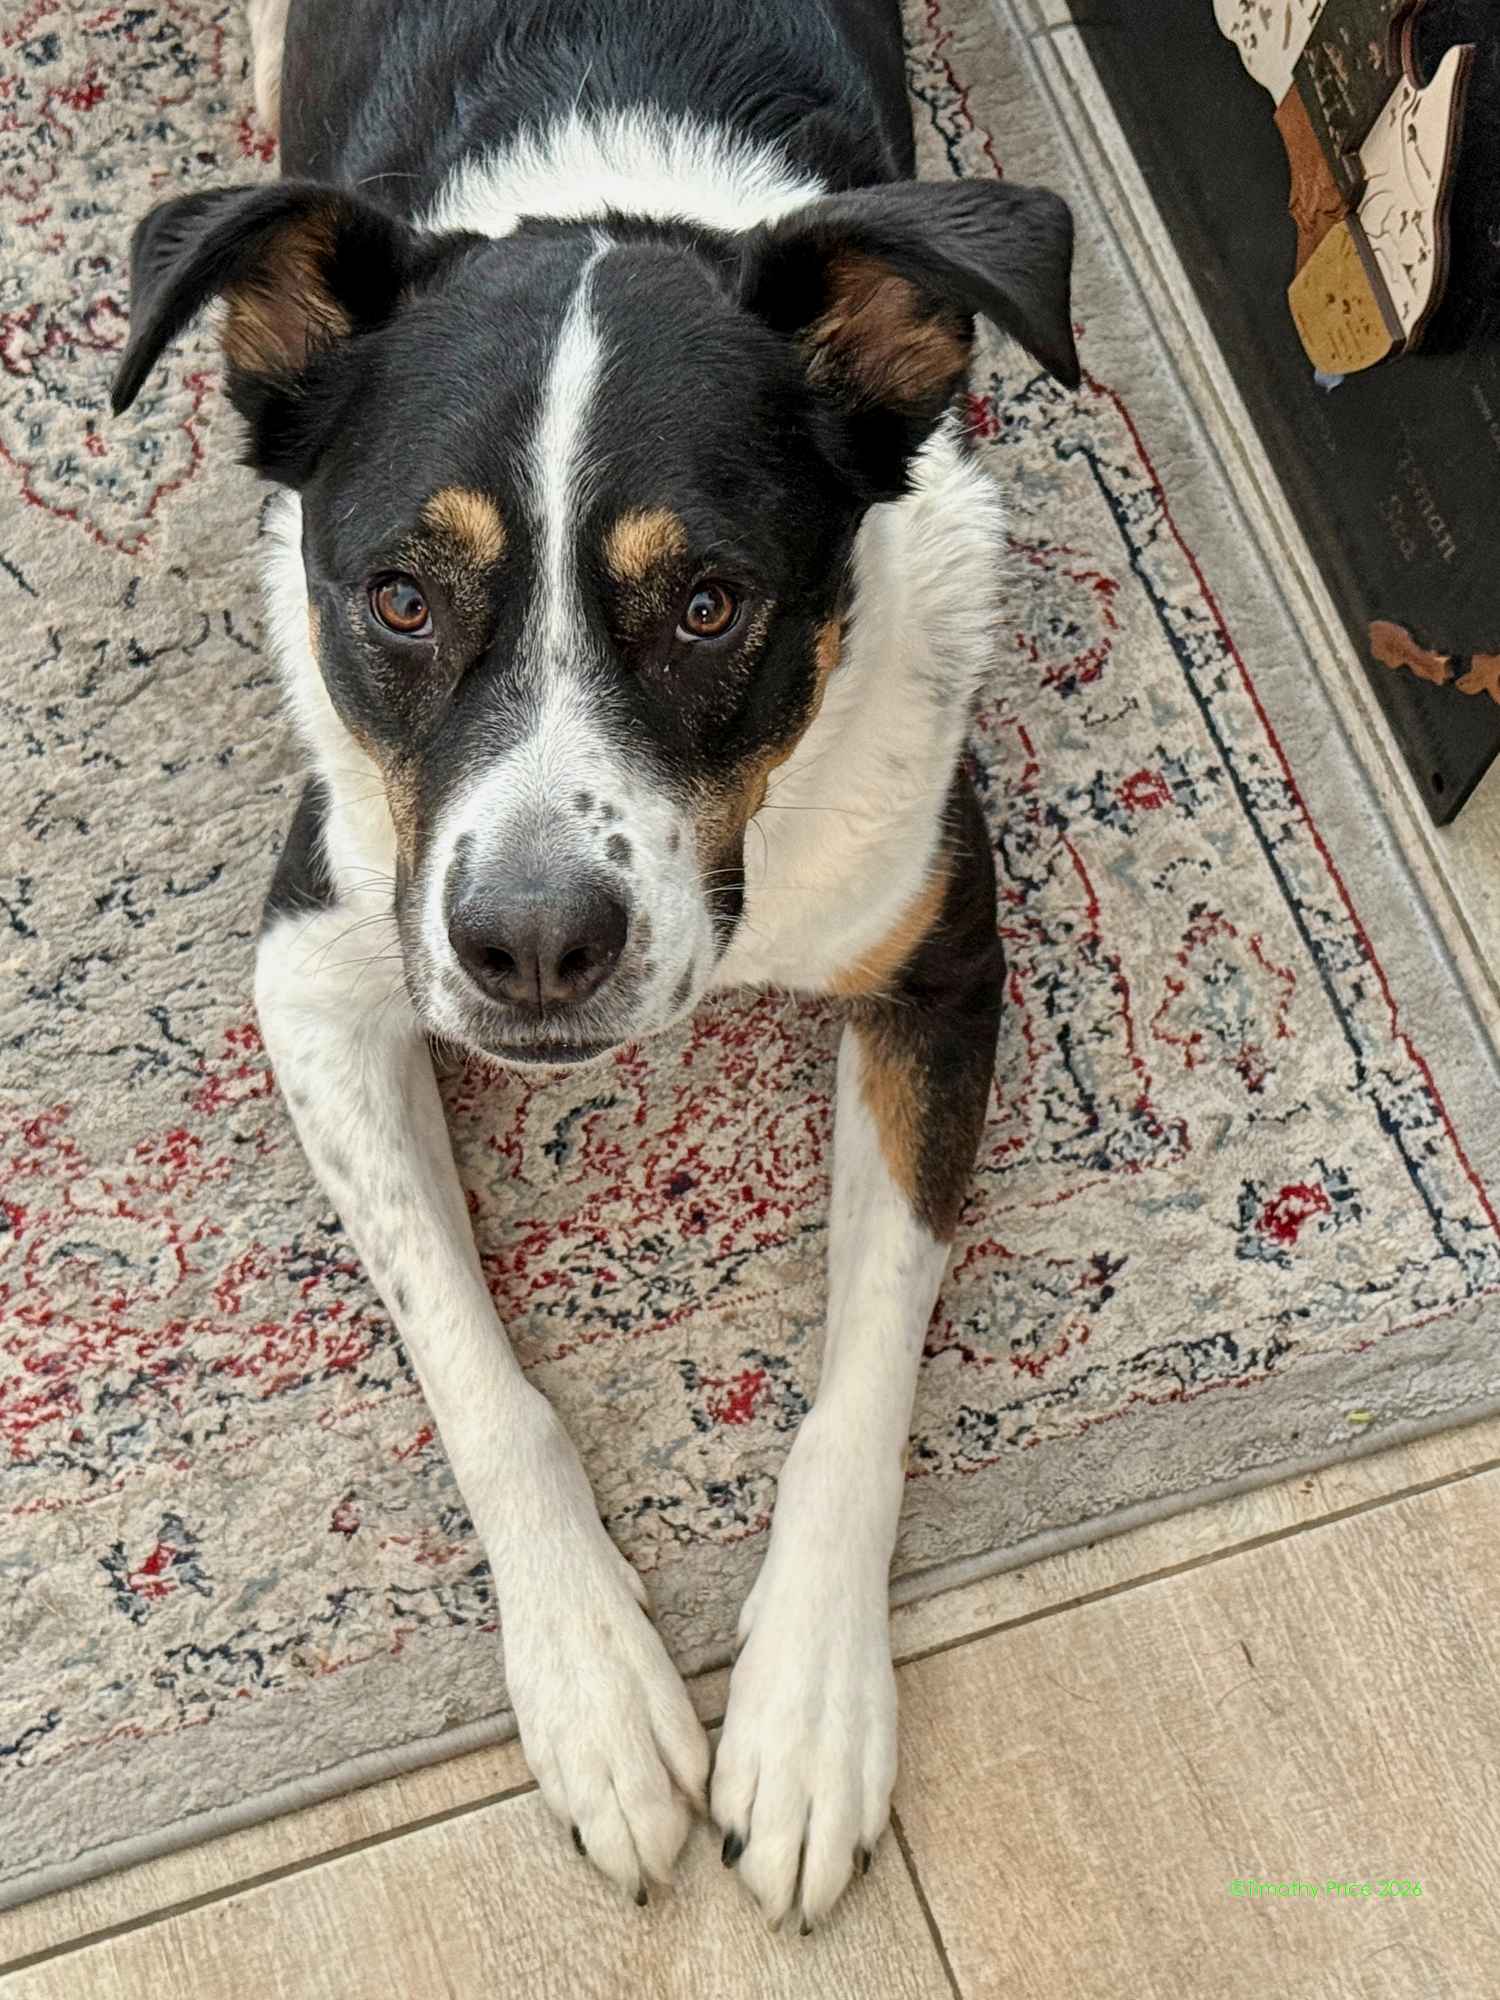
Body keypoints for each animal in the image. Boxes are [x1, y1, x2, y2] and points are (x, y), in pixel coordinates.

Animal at [110, 0, 1077, 1929]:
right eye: (399, 598)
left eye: (709, 605)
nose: (534, 946)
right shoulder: (321, 962)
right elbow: (476, 1373)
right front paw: (598, 1697)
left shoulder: (941, 956)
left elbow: (867, 1361)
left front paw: (806, 1715)